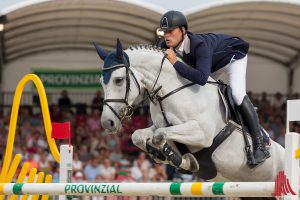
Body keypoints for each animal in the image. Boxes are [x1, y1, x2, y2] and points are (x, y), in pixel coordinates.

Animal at [95, 38, 284, 184]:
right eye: (102, 82)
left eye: (119, 80)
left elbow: (159, 136)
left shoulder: (202, 133)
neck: (172, 91)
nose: (107, 122)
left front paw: (180, 160)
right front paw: (164, 156)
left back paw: (259, 153)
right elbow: (139, 136)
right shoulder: (160, 125)